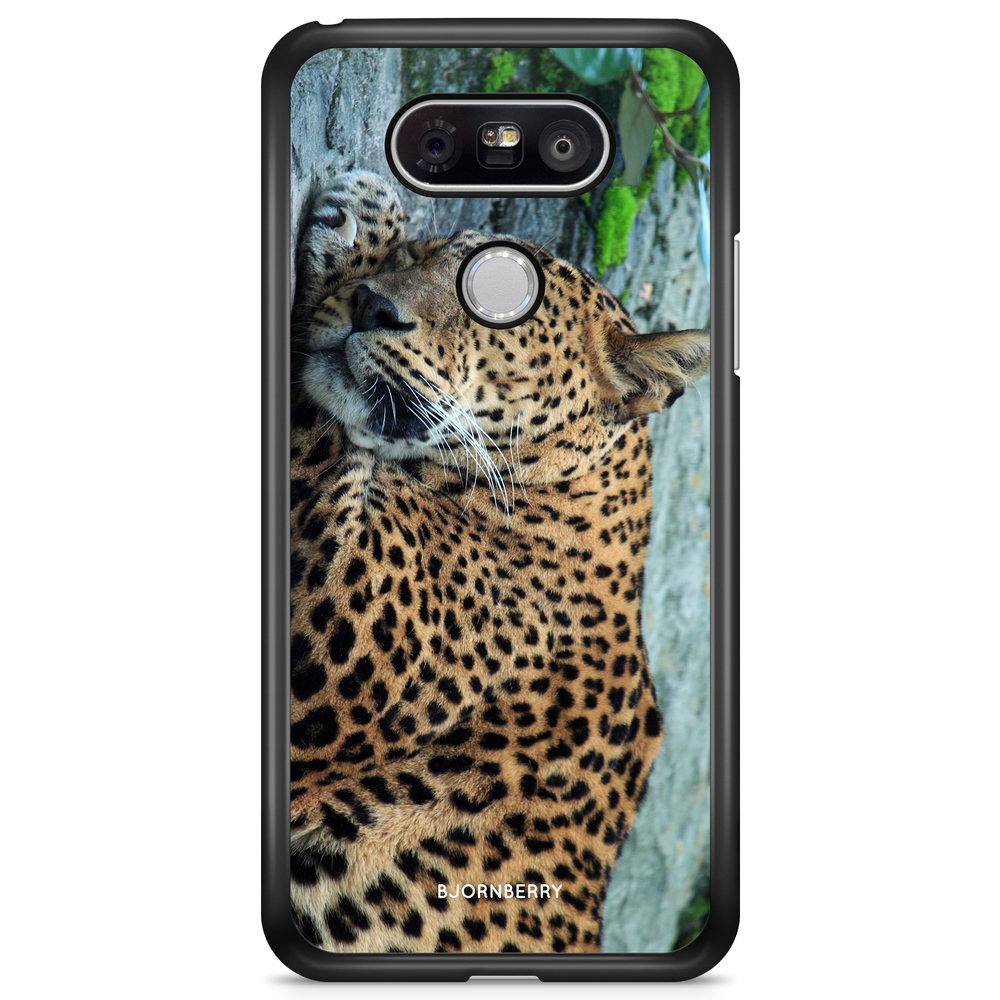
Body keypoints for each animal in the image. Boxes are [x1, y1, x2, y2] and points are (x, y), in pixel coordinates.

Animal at [288, 171, 710, 954]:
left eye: (499, 313)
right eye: (427, 255)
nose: (372, 306)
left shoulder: (342, 616)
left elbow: (320, 428)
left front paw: (360, 217)